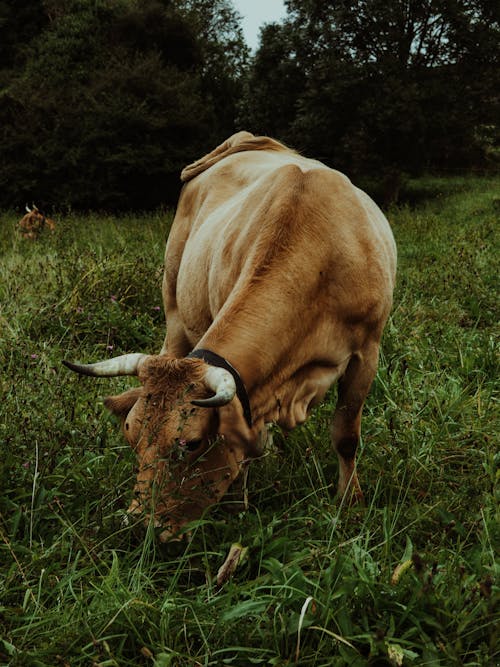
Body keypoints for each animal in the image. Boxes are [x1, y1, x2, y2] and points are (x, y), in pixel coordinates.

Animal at [64, 132, 396, 544]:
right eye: (130, 434)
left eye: (189, 444)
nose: (141, 528)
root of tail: (249, 141)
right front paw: (238, 506)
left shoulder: (367, 352)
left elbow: (345, 435)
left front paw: (350, 501)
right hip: (174, 302)